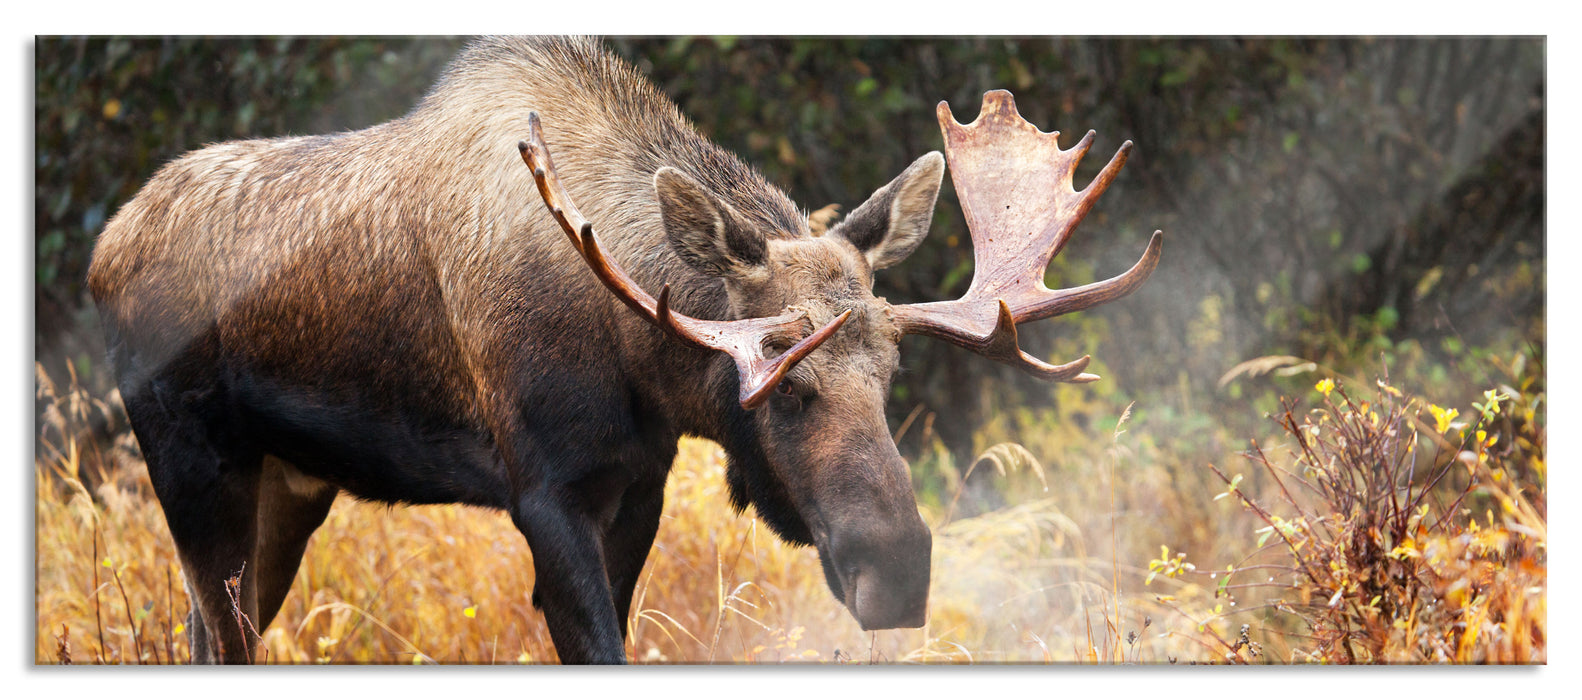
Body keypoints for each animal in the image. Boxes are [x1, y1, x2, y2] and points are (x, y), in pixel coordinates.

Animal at [86, 36, 1164, 661]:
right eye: (783, 385)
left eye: (890, 374)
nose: (897, 569)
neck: (640, 362)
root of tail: (103, 249)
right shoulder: (544, 491)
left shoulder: (638, 481)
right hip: (193, 465)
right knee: (215, 632)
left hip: (292, 483)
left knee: (210, 629)